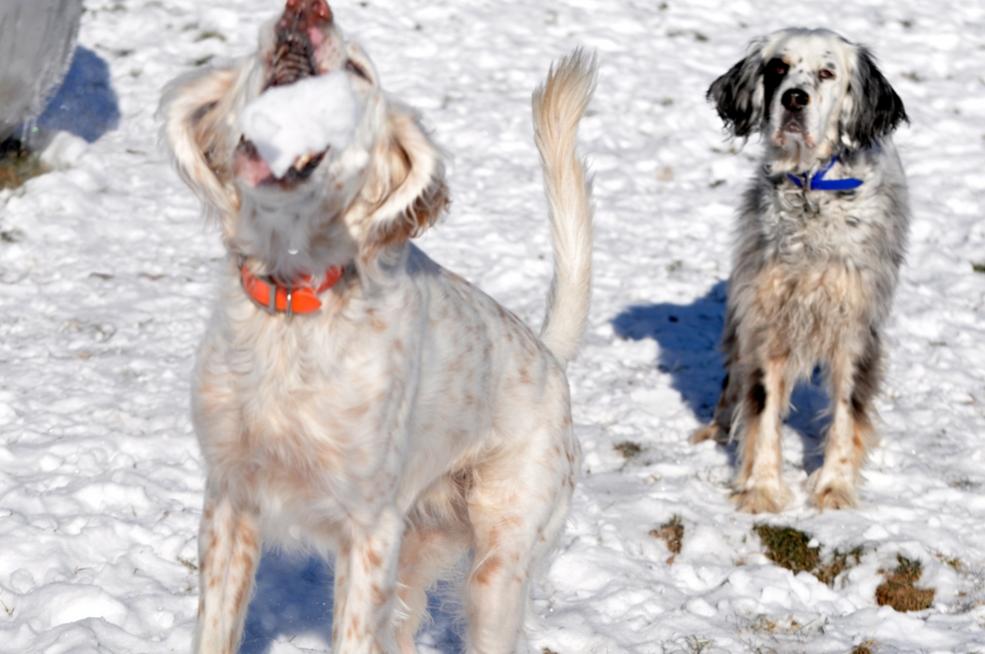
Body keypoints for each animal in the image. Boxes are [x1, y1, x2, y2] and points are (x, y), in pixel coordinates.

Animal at [696, 28, 912, 516]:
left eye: (827, 72)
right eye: (777, 66)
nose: (795, 98)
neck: (811, 191)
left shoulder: (854, 328)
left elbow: (846, 413)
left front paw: (834, 486)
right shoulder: (766, 320)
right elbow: (762, 409)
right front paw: (761, 488)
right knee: (733, 380)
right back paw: (716, 428)